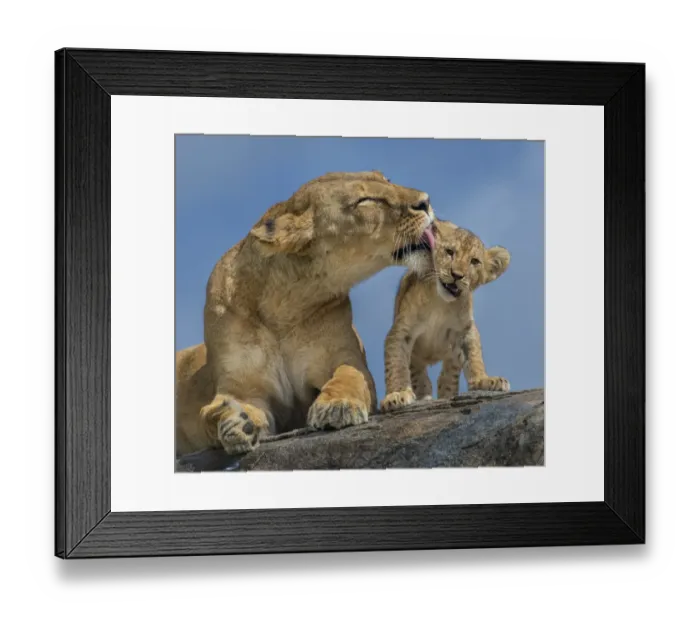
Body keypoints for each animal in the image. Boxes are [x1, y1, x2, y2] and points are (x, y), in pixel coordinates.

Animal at [175, 171, 437, 457]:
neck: (283, 306)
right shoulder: (242, 387)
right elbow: (222, 410)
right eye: (365, 200)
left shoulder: (344, 356)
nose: (425, 201)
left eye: (386, 179)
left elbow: (350, 375)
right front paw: (238, 424)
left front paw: (337, 405)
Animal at [380, 219, 511, 412]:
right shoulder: (401, 331)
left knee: (447, 376)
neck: (440, 304)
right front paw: (397, 395)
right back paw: (424, 395)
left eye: (474, 261)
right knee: (419, 374)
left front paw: (485, 380)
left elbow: (474, 356)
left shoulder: (465, 330)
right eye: (450, 252)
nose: (456, 275)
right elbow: (397, 364)